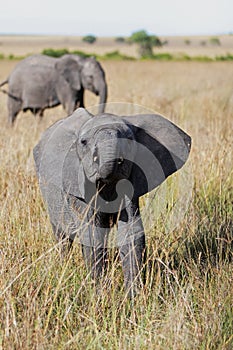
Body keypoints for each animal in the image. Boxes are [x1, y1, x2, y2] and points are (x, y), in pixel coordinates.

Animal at [34, 108, 191, 300]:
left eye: (130, 139)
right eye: (83, 142)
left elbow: (131, 232)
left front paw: (133, 299)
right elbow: (92, 233)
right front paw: (98, 296)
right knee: (63, 235)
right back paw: (62, 267)